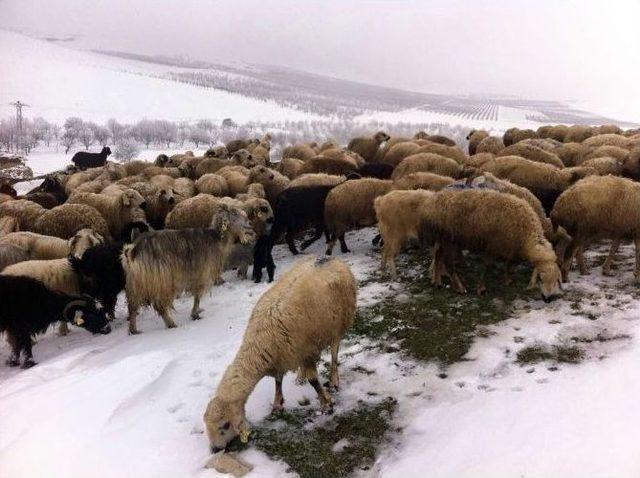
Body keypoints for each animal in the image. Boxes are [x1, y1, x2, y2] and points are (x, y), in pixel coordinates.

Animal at [122, 204, 255, 334]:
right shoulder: (202, 275)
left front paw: (197, 311)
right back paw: (171, 324)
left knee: (132, 306)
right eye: (234, 214)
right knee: (160, 306)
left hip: (136, 284)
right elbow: (197, 297)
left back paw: (133, 330)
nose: (250, 224)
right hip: (161, 282)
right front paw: (195, 314)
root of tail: (132, 251)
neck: (217, 239)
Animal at [204, 254, 358, 452]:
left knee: (334, 351)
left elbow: (314, 381)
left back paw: (334, 378)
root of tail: (328, 257)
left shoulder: (306, 351)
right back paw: (300, 376)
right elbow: (278, 380)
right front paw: (278, 403)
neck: (258, 345)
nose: (215, 449)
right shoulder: (283, 356)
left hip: (339, 323)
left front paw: (327, 404)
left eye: (225, 425)